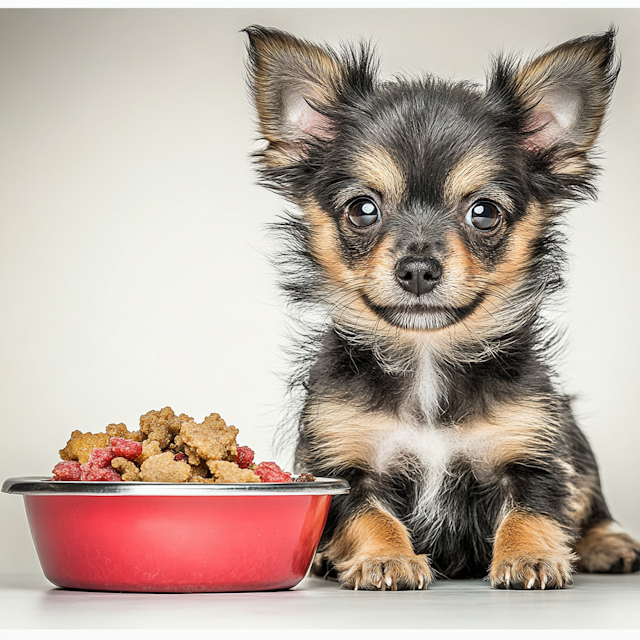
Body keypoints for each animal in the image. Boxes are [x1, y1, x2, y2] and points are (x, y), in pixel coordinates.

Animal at [242, 28, 636, 592]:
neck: (428, 357)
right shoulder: (345, 464)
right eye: (363, 210)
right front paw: (386, 558)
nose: (418, 269)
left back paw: (608, 544)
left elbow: (533, 511)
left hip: (571, 436)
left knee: (591, 503)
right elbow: (369, 516)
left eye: (484, 213)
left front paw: (532, 556)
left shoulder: (531, 450)